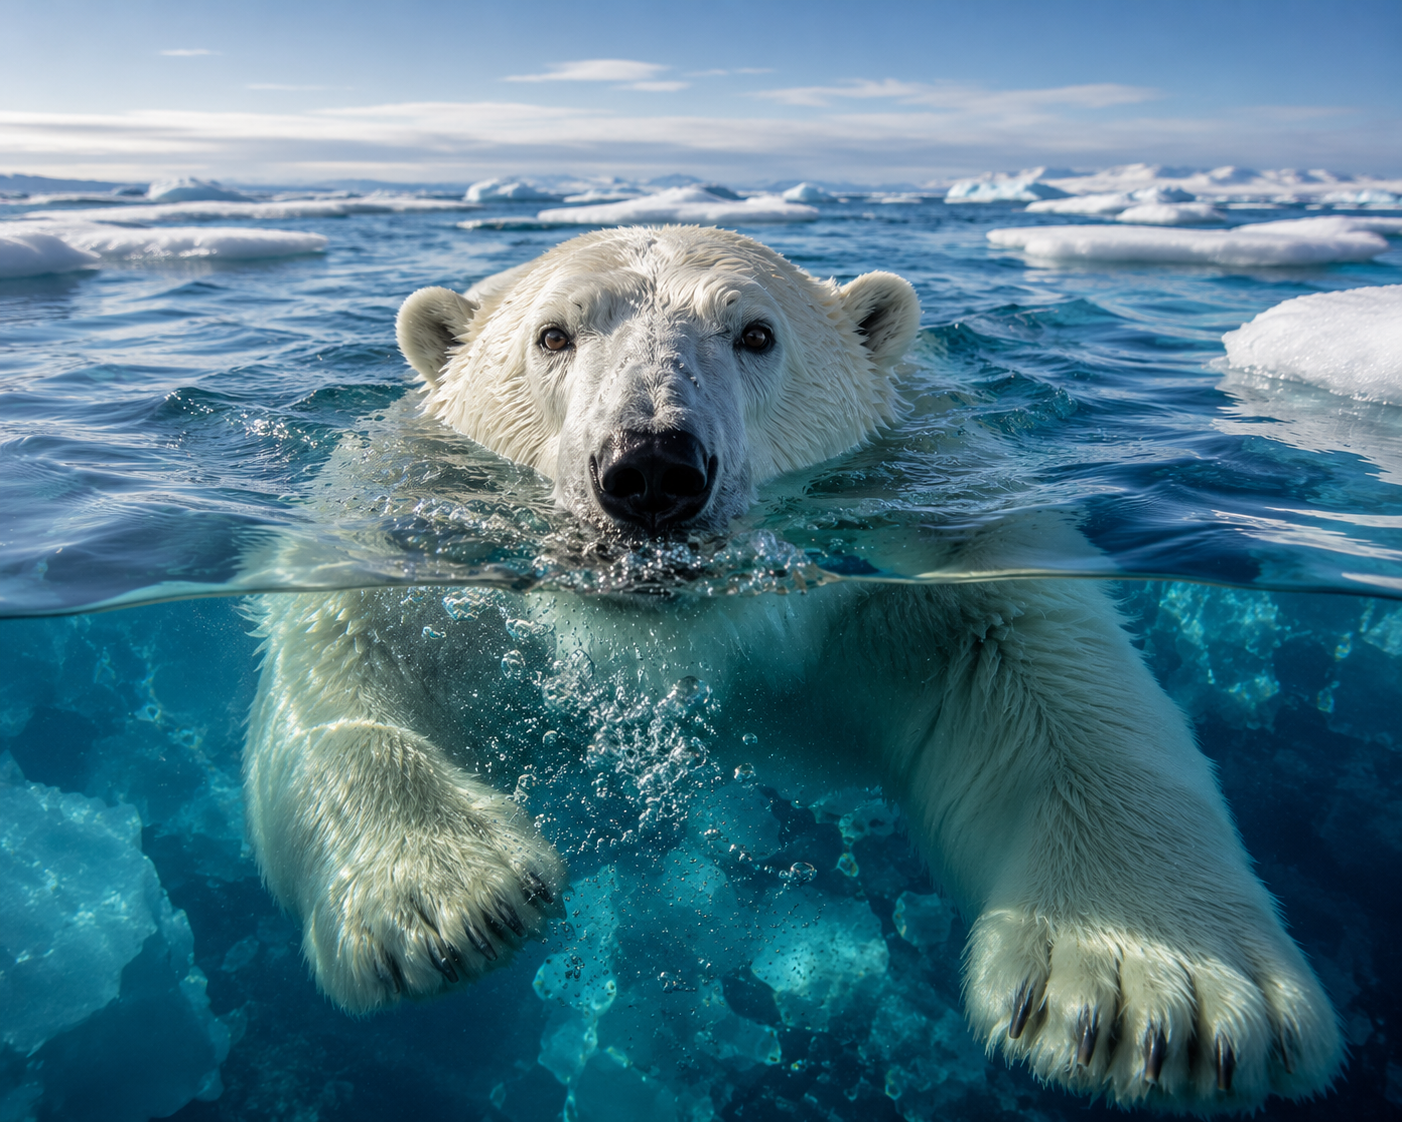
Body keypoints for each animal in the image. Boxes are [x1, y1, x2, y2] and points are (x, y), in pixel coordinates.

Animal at [245, 225, 1342, 1113]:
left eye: (755, 334)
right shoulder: (411, 525)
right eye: (553, 336)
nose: (652, 469)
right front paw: (449, 901)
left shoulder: (933, 530)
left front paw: (1152, 993)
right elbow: (340, 658)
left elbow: (1044, 670)